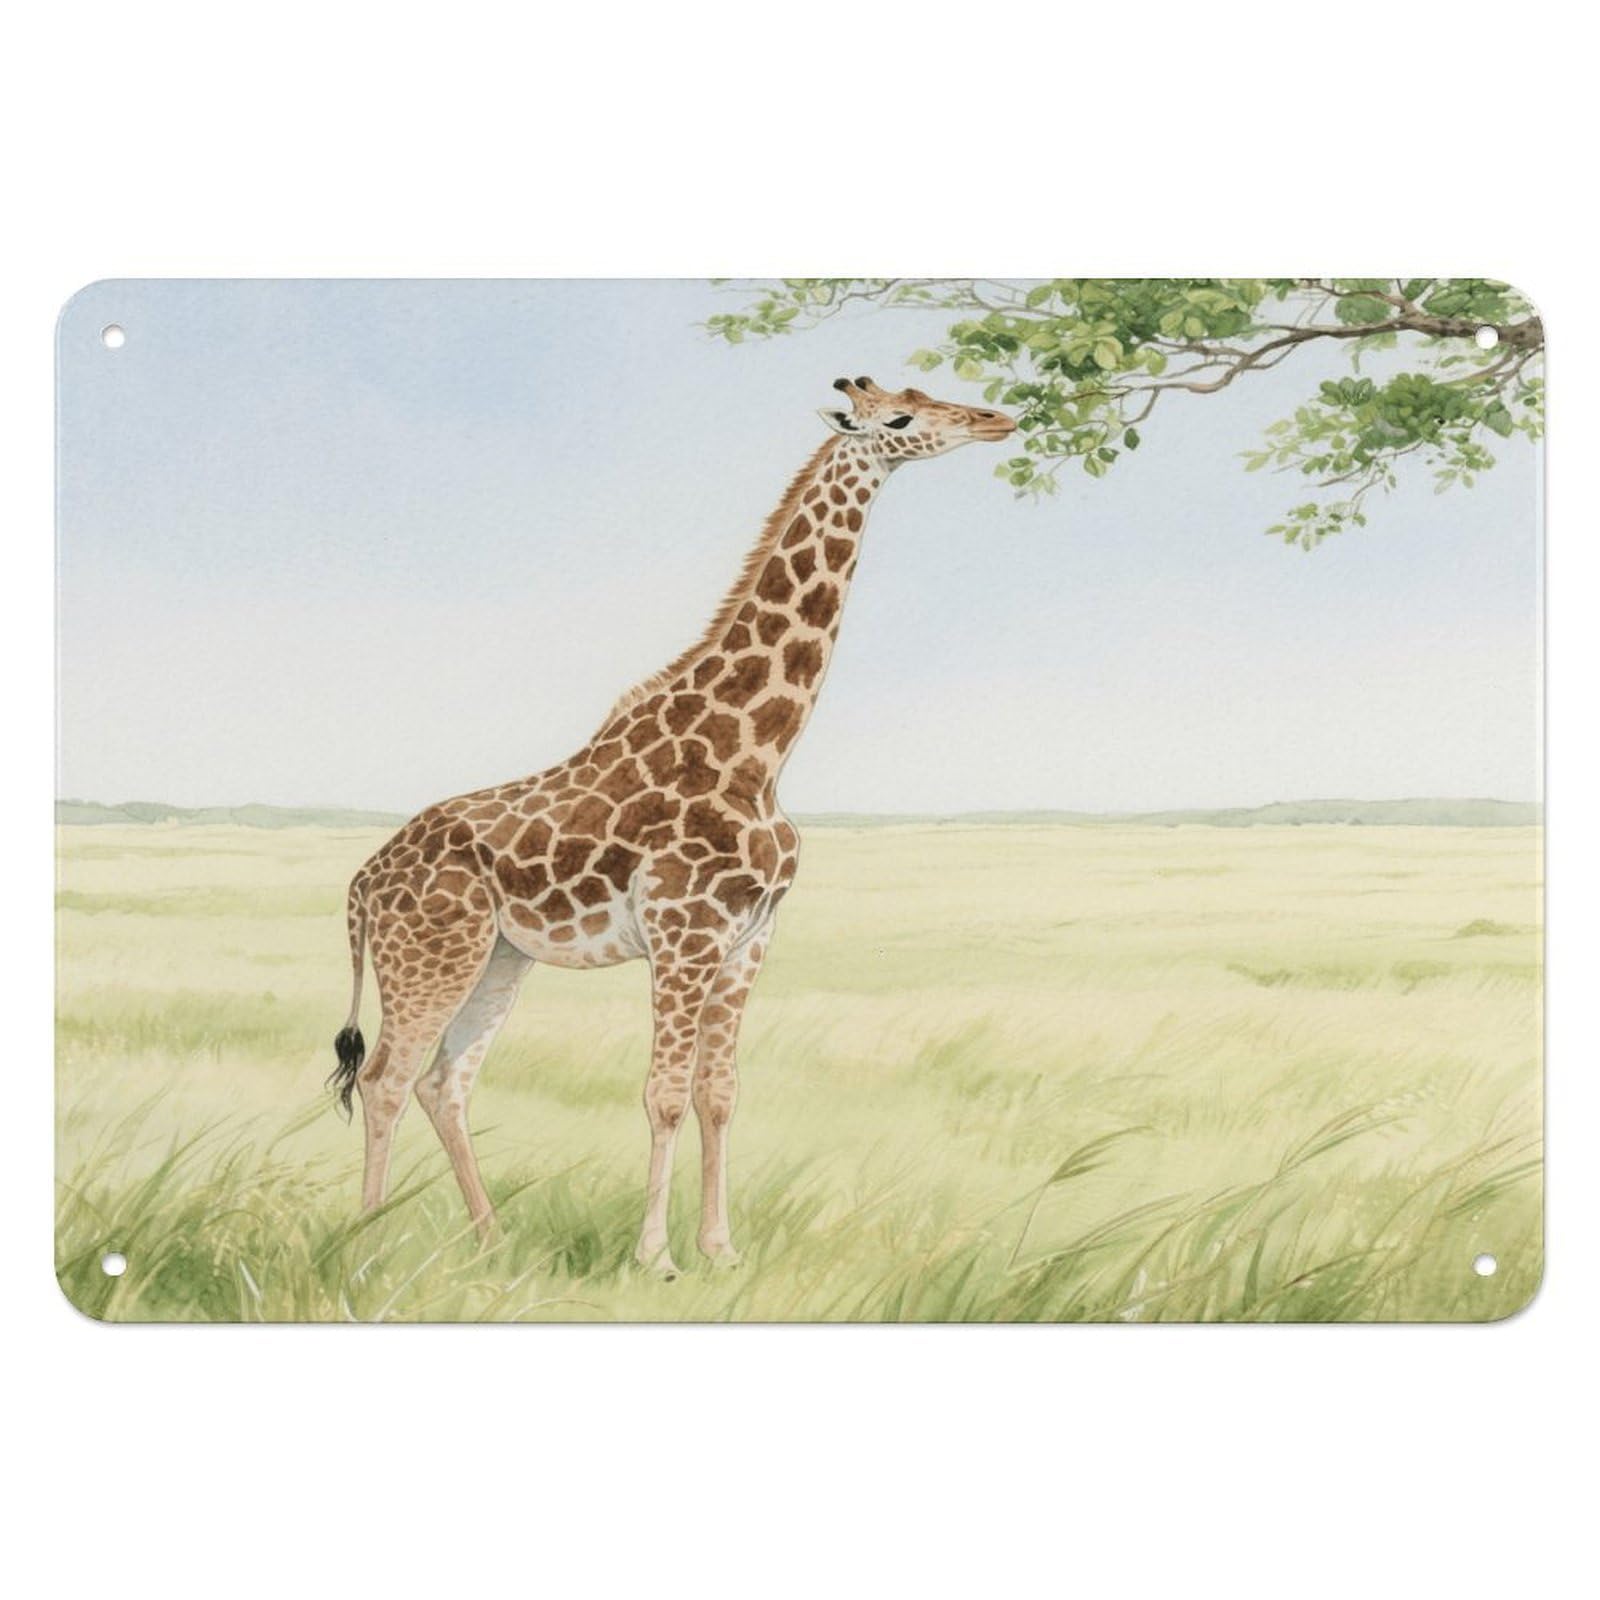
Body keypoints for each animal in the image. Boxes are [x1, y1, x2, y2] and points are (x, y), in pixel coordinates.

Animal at [329, 375, 1016, 1275]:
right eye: (899, 416)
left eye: (928, 393)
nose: (997, 420)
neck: (758, 754)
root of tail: (362, 882)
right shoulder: (684, 934)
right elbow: (662, 1097)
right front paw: (655, 1257)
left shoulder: (749, 938)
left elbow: (718, 1094)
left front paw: (721, 1250)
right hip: (430, 955)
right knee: (385, 1077)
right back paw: (368, 1244)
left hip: (500, 959)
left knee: (444, 1082)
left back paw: (492, 1241)